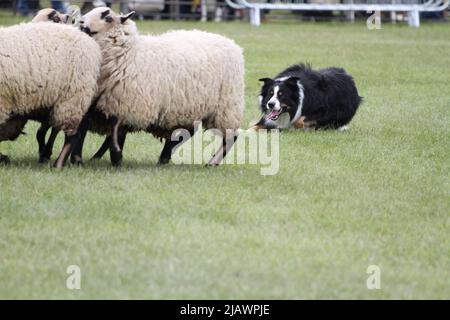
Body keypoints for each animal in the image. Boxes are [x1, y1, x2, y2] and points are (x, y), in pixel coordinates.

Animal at [76, 7, 246, 166]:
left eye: (108, 17)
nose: (81, 22)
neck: (129, 53)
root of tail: (232, 44)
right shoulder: (110, 103)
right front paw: (100, 158)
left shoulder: (126, 105)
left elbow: (116, 136)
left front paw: (116, 160)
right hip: (190, 107)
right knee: (188, 132)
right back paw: (164, 158)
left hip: (226, 106)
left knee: (231, 136)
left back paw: (211, 163)